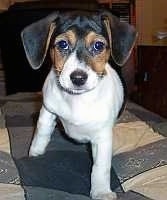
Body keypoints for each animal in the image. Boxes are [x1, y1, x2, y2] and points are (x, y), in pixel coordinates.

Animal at [20, 10, 137, 200]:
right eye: (62, 44)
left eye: (98, 45)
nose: (78, 78)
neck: (77, 100)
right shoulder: (47, 109)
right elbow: (41, 132)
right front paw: (35, 153)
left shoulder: (102, 138)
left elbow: (100, 167)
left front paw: (101, 191)